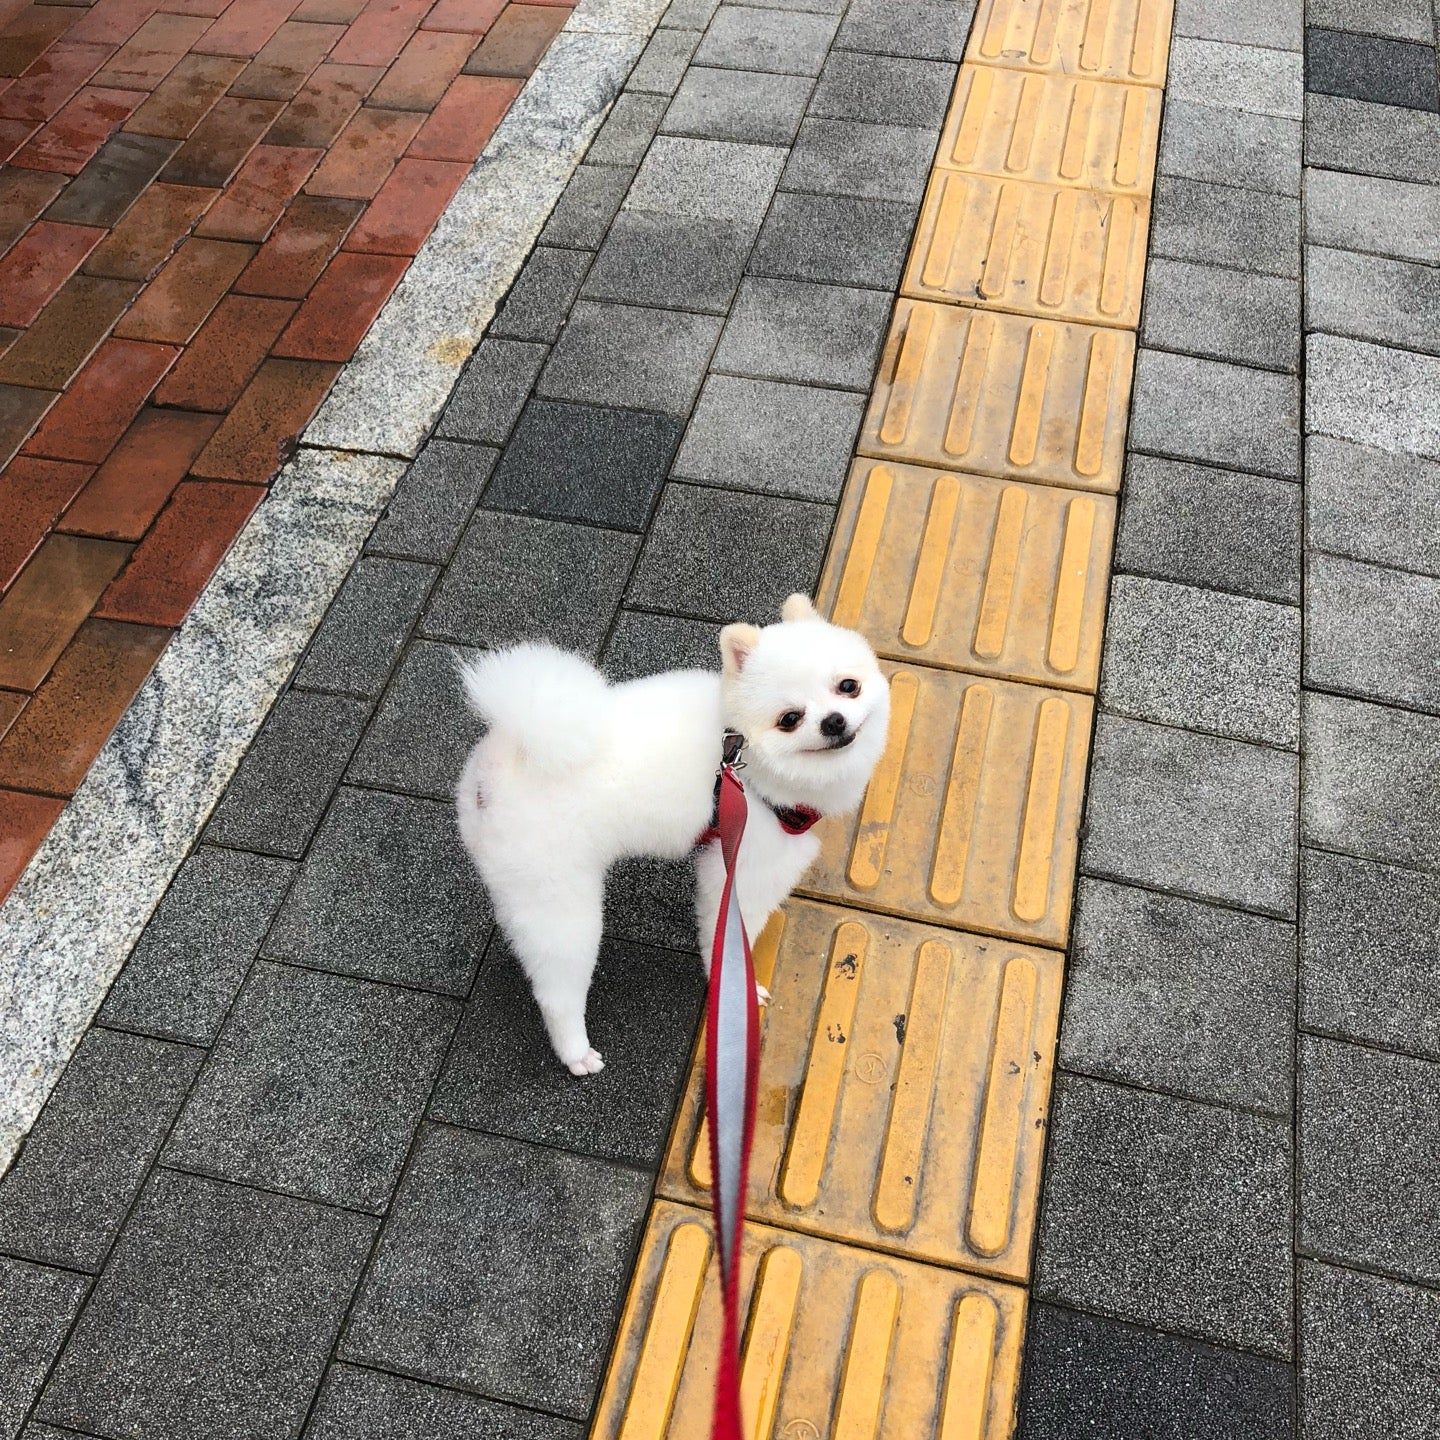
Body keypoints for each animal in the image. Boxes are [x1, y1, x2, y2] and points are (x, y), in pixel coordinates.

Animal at [460, 590, 887, 1077]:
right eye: (790, 718)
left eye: (848, 686)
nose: (834, 721)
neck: (742, 763)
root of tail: (501, 765)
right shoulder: (742, 866)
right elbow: (725, 931)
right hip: (564, 904)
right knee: (558, 991)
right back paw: (575, 1051)